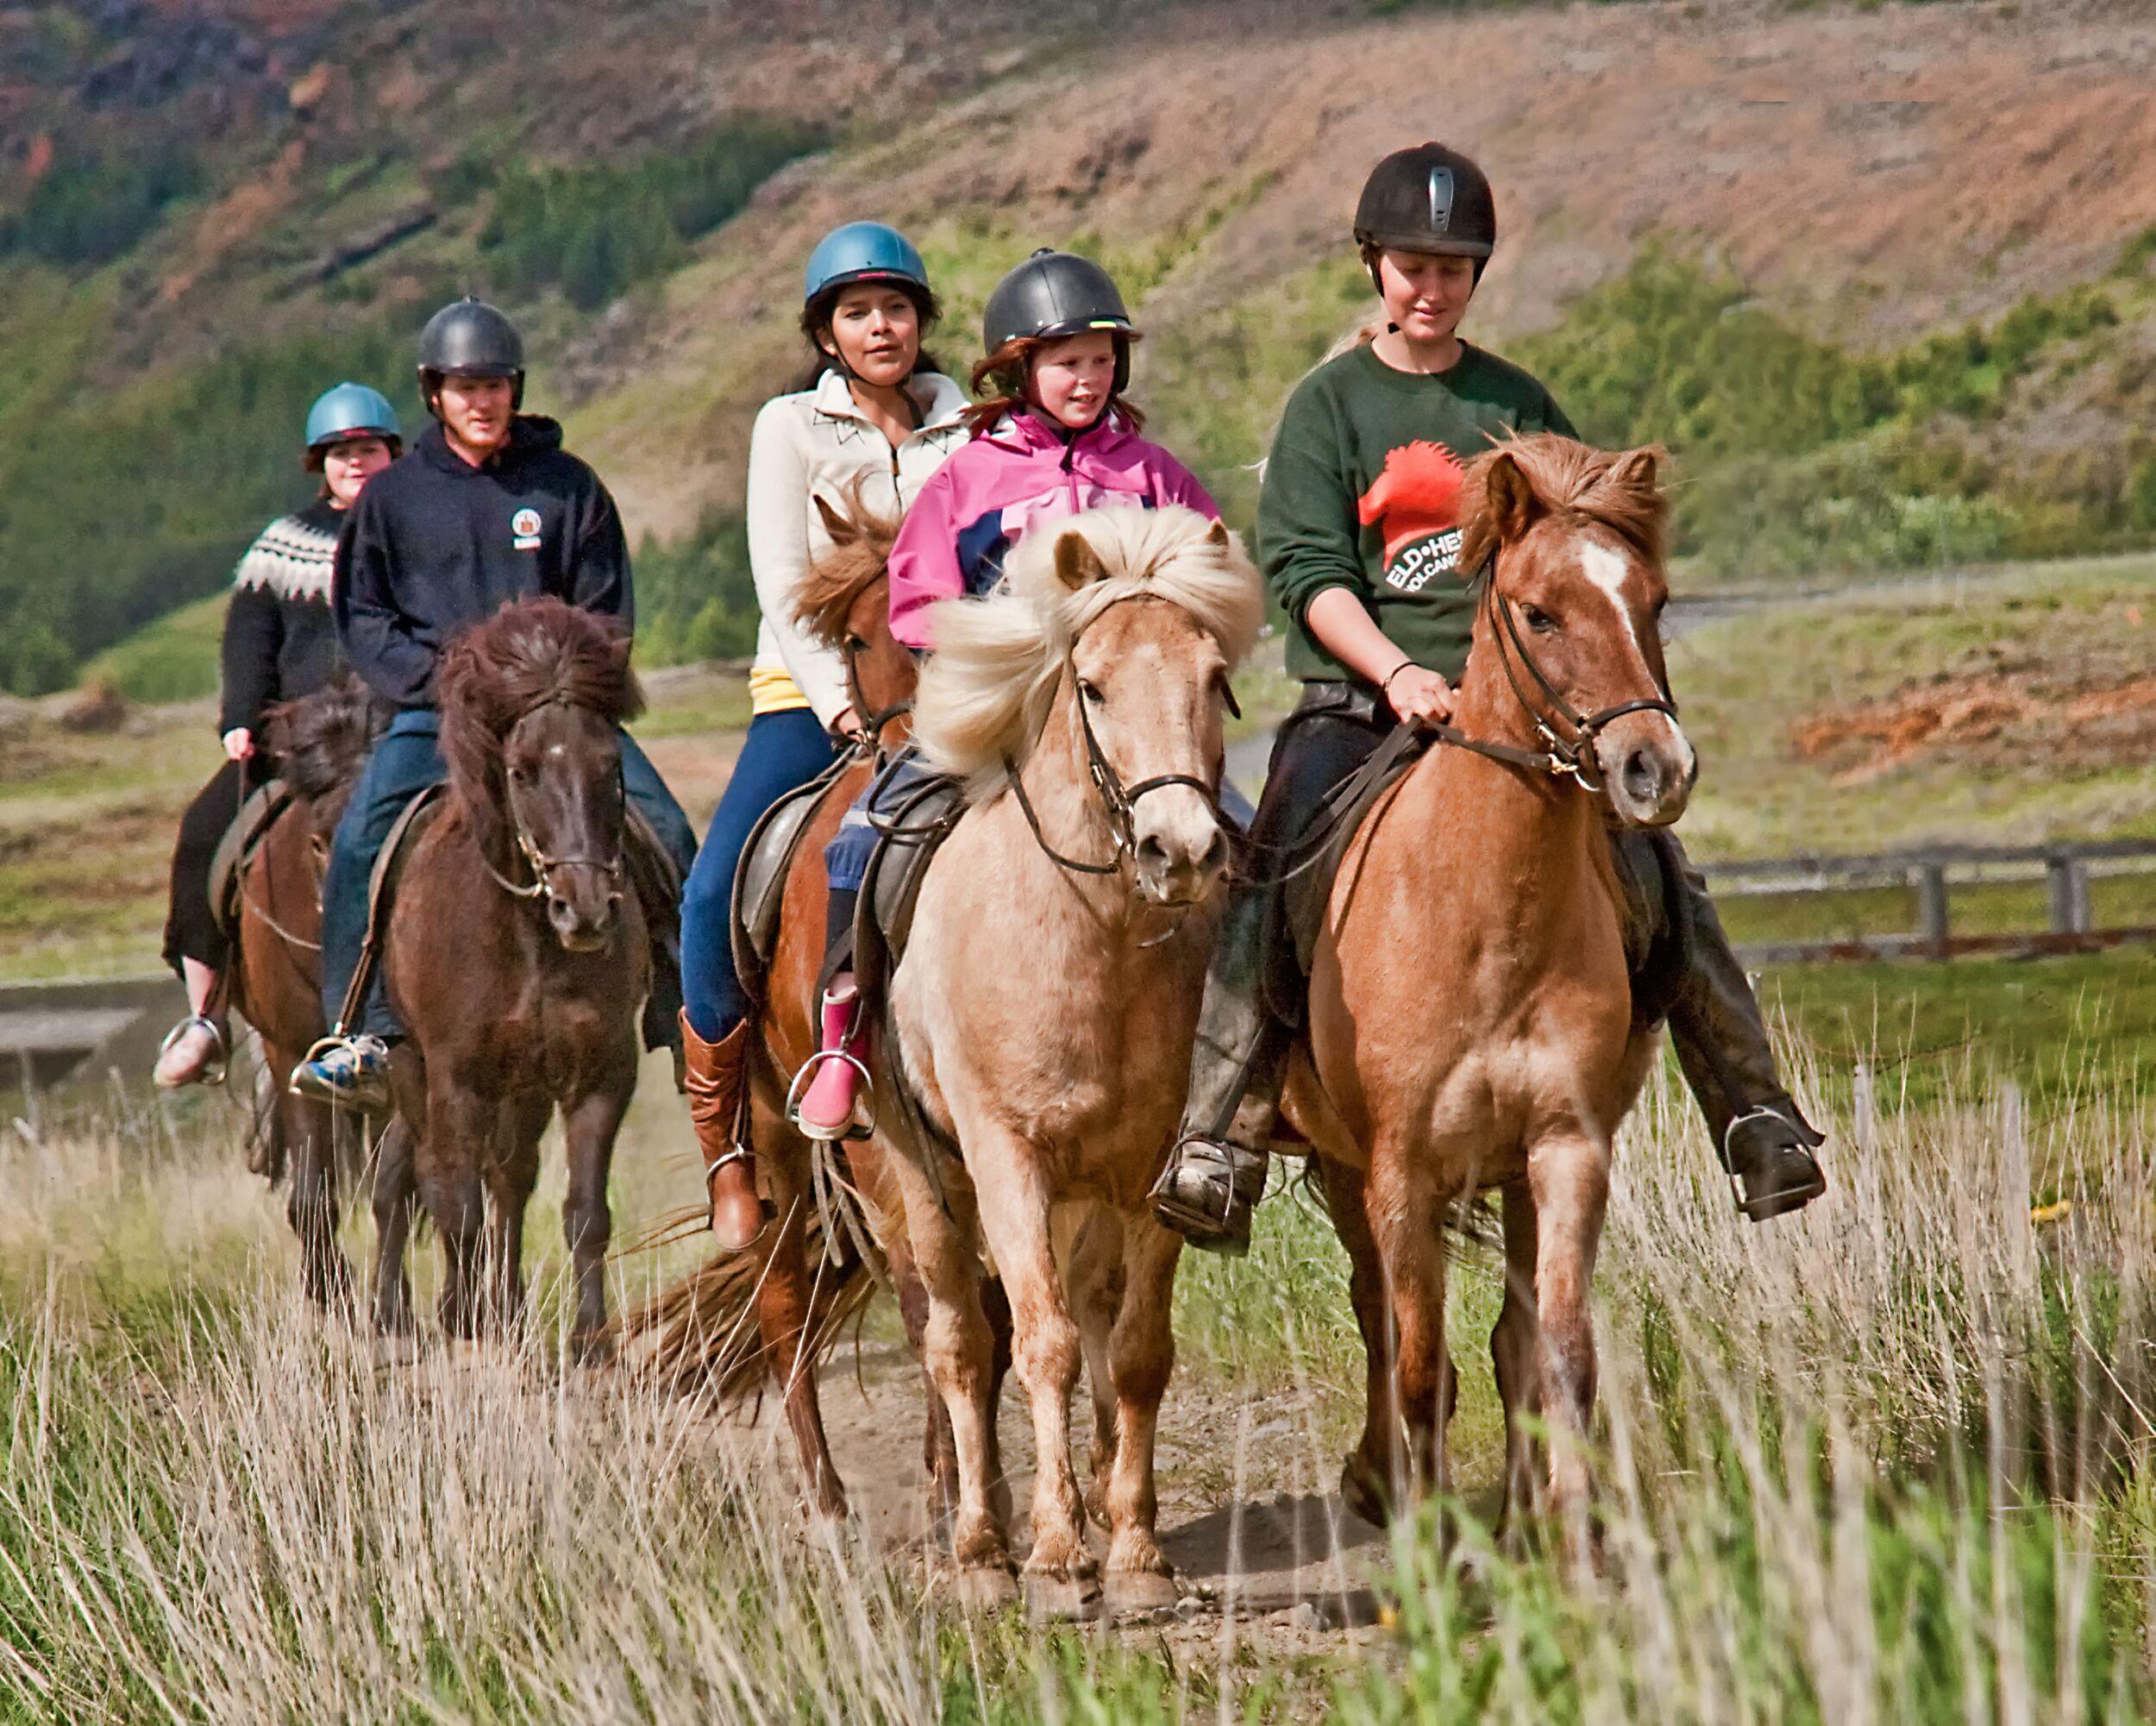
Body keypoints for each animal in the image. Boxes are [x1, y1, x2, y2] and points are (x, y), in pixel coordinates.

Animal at [374, 598, 649, 1358]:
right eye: (522, 770)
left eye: (610, 762)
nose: (585, 909)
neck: (526, 943)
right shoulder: (456, 1082)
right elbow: (455, 1204)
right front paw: (467, 1323)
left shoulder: (601, 1073)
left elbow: (584, 1210)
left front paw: (590, 1337)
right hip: (412, 1072)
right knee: (417, 1175)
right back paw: (413, 1312)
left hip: (523, 1089)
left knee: (507, 1177)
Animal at [1284, 434, 1694, 1556]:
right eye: (1540, 612)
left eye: (1653, 600)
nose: (1655, 770)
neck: (1482, 925)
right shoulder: (1401, 1171)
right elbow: (1422, 1360)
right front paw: (1433, 1547)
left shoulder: (1563, 1150)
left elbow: (1558, 1352)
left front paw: (1570, 1536)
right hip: (1351, 1171)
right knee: (1378, 1314)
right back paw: (1385, 1486)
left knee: (1499, 1335)